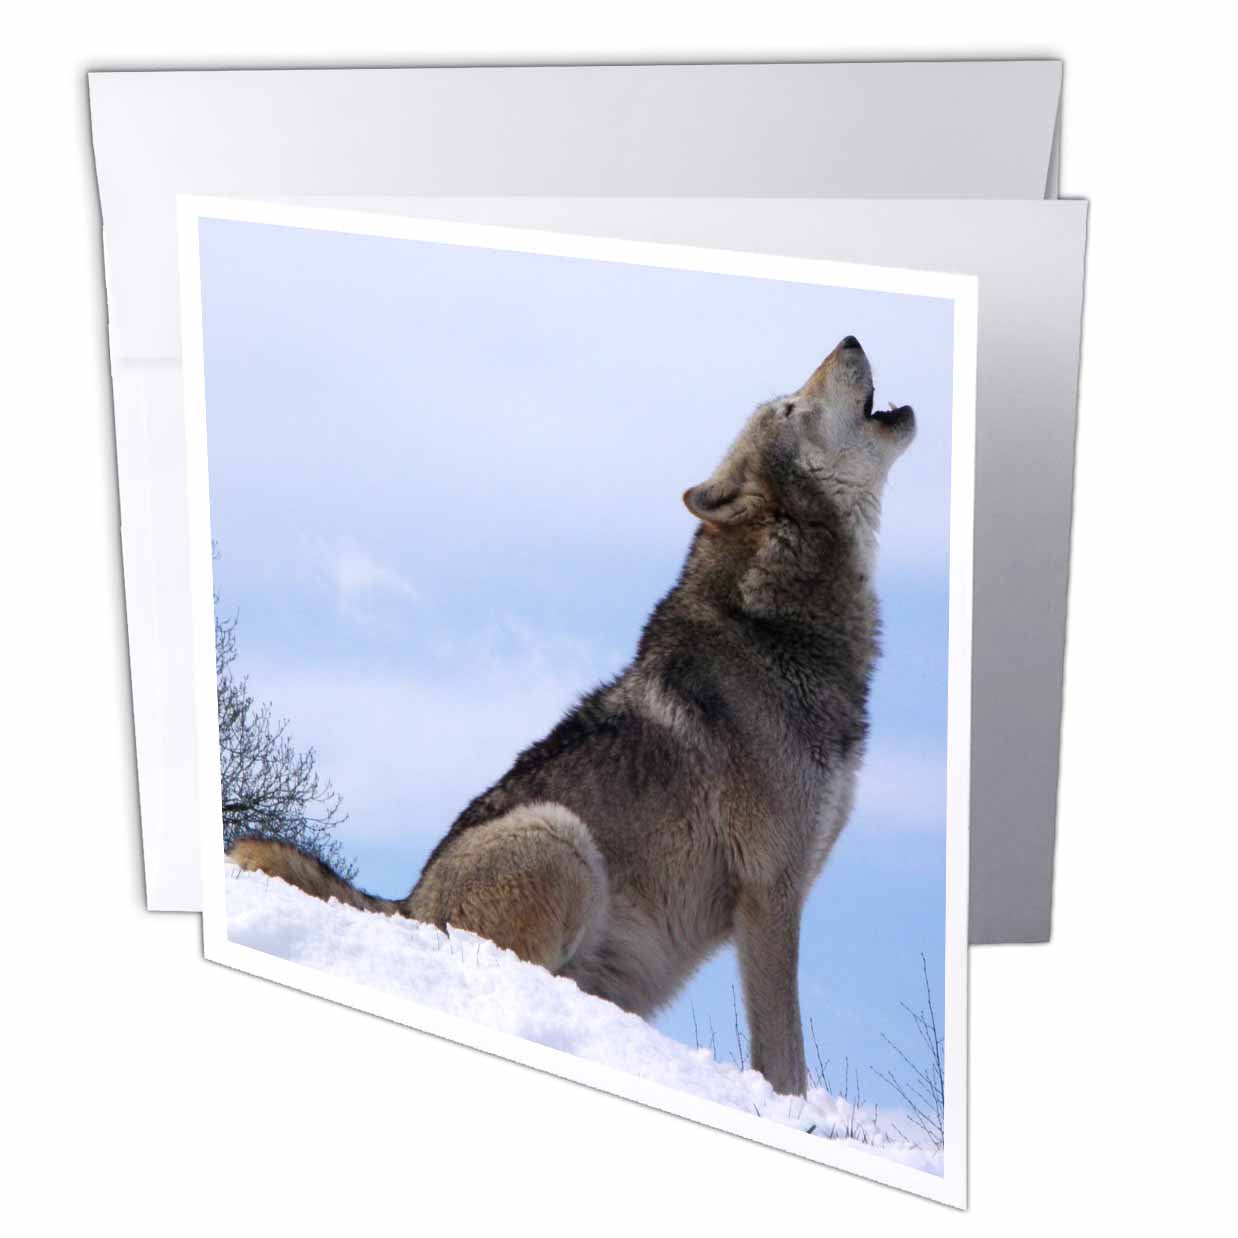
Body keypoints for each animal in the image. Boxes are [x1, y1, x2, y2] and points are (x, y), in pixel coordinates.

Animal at [230, 335, 915, 1097]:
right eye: (790, 408)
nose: (850, 338)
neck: (777, 629)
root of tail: (405, 906)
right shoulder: (770, 893)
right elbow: (784, 1059)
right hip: (562, 839)